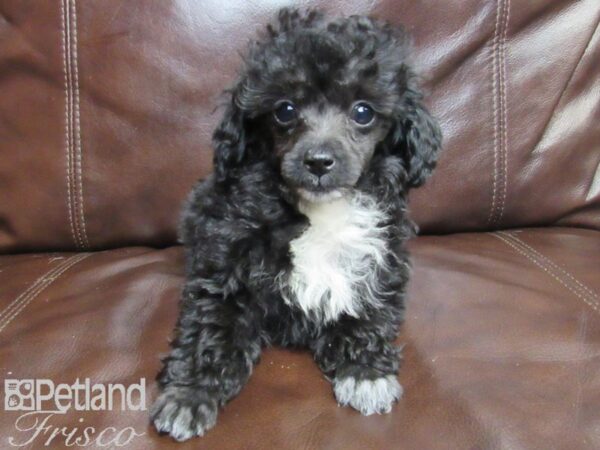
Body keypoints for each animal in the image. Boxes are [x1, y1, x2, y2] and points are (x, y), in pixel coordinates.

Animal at [150, 8, 440, 442]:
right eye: (284, 110)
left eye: (363, 112)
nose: (318, 161)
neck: (319, 212)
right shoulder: (225, 263)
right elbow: (211, 325)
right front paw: (189, 395)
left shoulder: (379, 257)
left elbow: (369, 311)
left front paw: (365, 373)